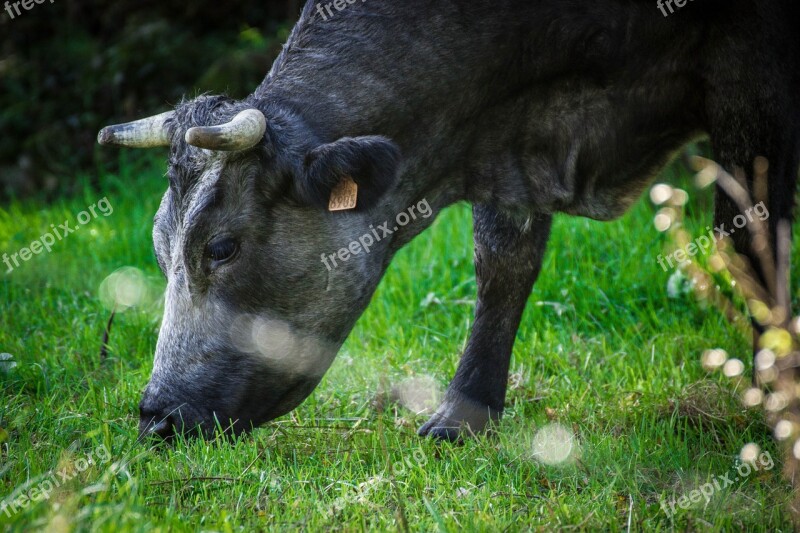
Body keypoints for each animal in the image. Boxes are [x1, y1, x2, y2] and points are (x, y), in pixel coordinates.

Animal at [95, 1, 800, 440]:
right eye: (158, 248)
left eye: (220, 247)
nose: (155, 419)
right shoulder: (510, 138)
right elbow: (502, 264)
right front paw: (467, 411)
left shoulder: (753, 75)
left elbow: (750, 240)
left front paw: (774, 400)